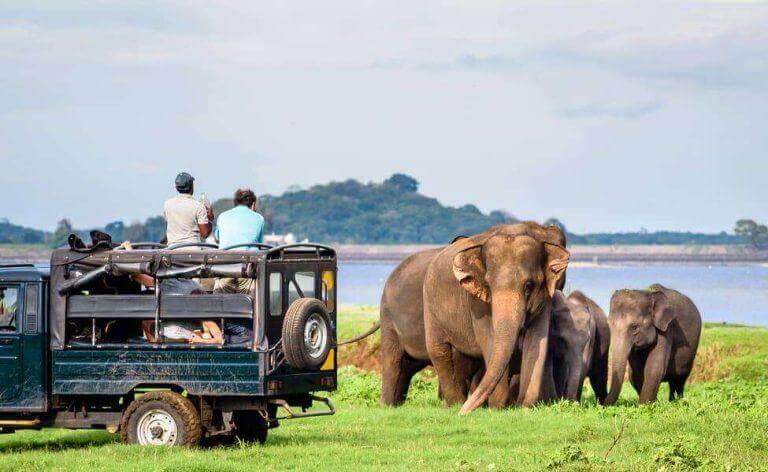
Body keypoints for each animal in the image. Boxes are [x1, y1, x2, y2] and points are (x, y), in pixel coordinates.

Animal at [379, 222, 567, 407]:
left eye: (529, 285)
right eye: (488, 285)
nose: (465, 411)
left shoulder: (545, 296)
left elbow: (537, 341)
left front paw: (525, 406)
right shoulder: (477, 303)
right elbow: (489, 340)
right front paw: (498, 407)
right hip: (417, 309)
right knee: (427, 352)